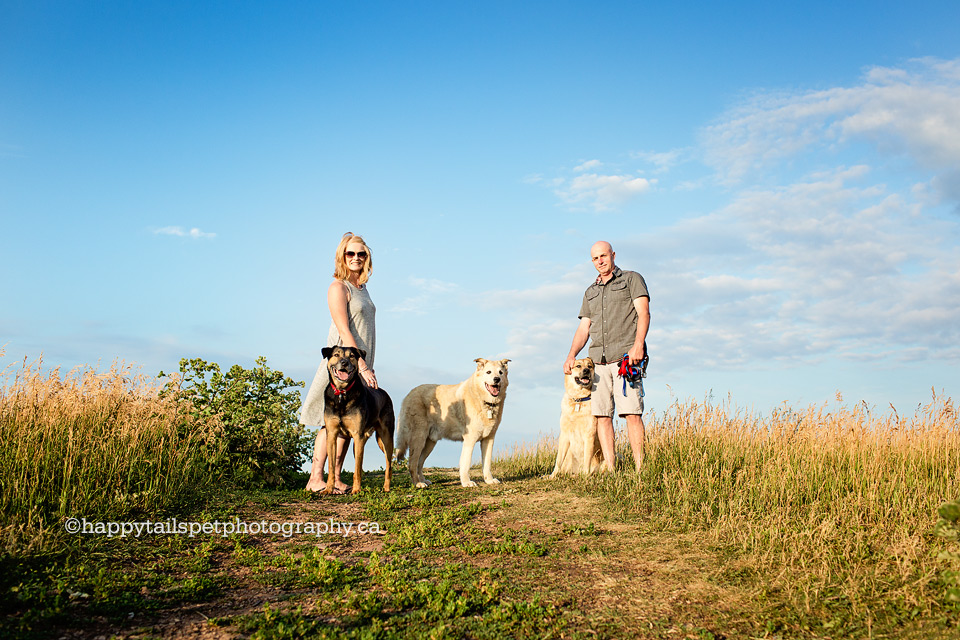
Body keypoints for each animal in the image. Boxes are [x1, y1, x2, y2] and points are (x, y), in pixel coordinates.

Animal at [322, 344, 394, 496]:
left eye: (352, 356)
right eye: (336, 355)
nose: (344, 363)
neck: (342, 393)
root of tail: (383, 392)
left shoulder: (357, 435)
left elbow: (357, 469)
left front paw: (356, 490)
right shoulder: (331, 434)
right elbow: (331, 467)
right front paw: (328, 489)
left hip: (385, 438)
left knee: (389, 464)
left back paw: (386, 487)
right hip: (363, 441)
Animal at [394, 358, 510, 488]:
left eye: (500, 372)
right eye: (488, 372)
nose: (497, 379)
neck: (485, 402)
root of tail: (409, 394)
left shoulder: (488, 439)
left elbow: (487, 463)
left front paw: (489, 480)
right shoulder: (470, 439)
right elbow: (465, 463)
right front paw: (466, 482)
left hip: (429, 442)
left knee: (419, 463)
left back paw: (423, 480)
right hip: (418, 439)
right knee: (412, 463)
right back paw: (418, 483)